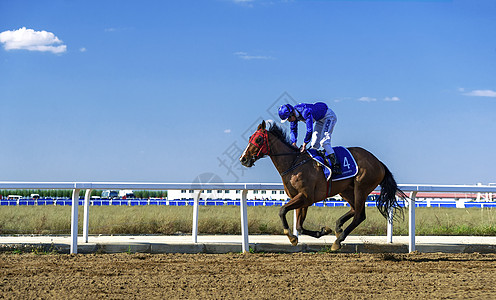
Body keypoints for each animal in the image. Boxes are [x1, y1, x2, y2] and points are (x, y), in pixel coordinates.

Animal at [240, 119, 406, 251]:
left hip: (362, 187)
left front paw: (291, 237)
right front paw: (322, 231)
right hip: (346, 190)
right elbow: (299, 226)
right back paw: (338, 228)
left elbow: (282, 211)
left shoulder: (306, 197)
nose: (243, 159)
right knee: (354, 210)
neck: (294, 163)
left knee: (360, 215)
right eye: (250, 138)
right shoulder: (300, 199)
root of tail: (379, 163)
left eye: (259, 139)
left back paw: (338, 241)